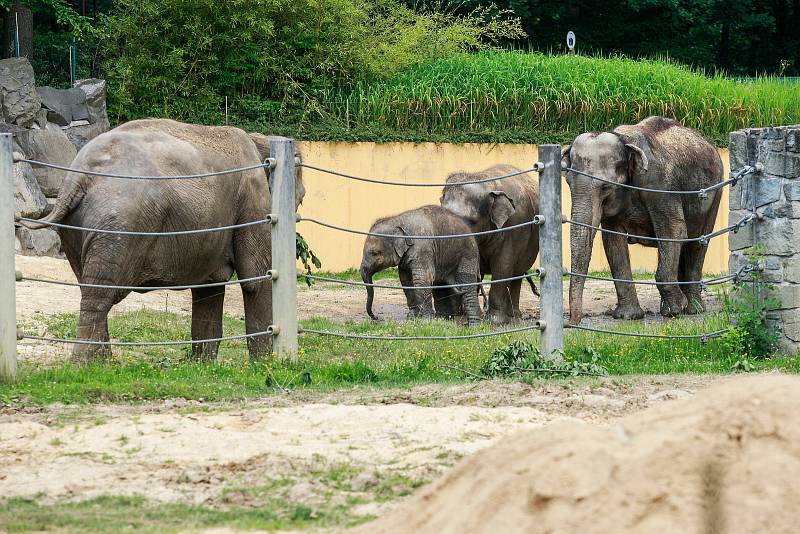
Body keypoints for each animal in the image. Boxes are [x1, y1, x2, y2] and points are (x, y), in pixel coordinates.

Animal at [25, 119, 304, 362]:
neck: (259, 140)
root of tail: (77, 178)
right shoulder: (252, 199)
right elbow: (256, 279)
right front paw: (265, 363)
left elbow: (209, 287)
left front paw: (202, 365)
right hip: (121, 223)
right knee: (102, 291)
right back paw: (86, 363)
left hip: (77, 227)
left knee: (89, 286)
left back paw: (100, 363)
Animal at [564, 118, 724, 326]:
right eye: (568, 183)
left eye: (606, 187)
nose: (572, 323)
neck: (624, 141)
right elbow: (613, 241)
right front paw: (628, 316)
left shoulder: (661, 185)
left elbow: (674, 231)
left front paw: (676, 309)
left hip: (716, 191)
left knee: (697, 242)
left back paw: (692, 309)